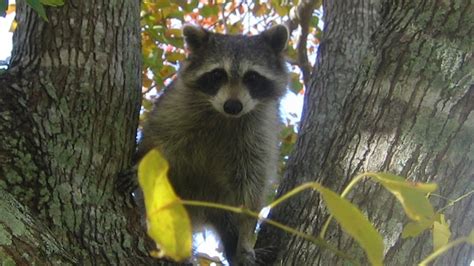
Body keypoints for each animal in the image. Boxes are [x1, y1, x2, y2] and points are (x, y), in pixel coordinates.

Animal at [137, 24, 288, 264]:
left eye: (252, 77)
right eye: (218, 74)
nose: (233, 106)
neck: (225, 117)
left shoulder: (259, 133)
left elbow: (250, 189)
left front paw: (245, 240)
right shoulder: (176, 107)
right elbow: (159, 142)